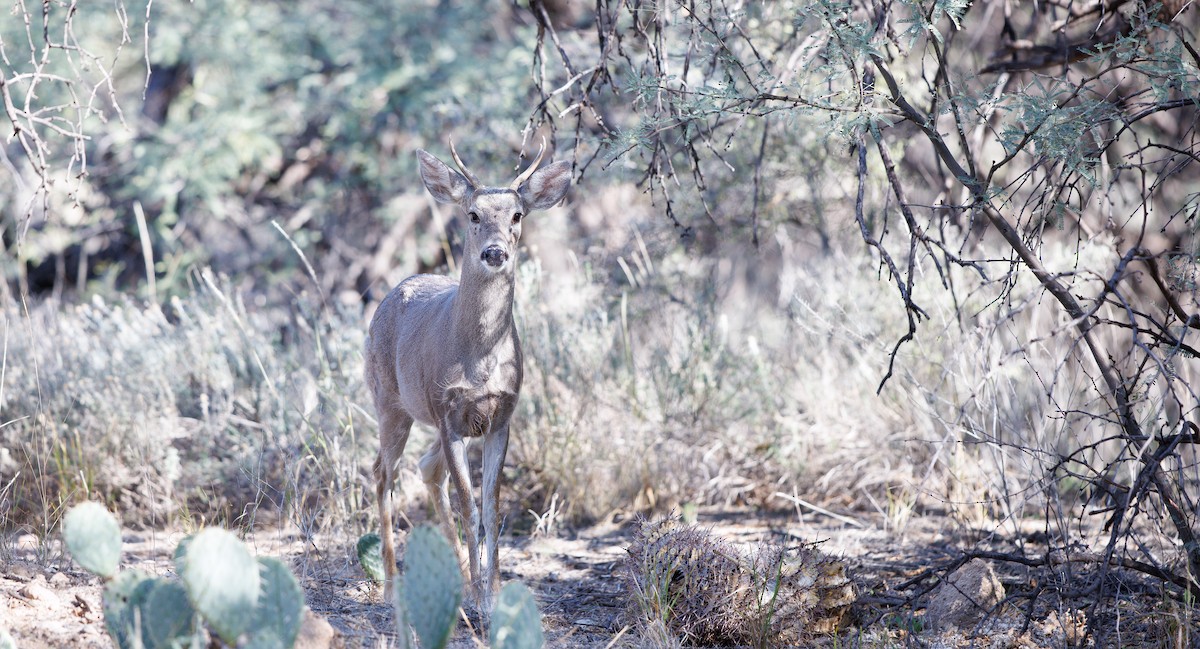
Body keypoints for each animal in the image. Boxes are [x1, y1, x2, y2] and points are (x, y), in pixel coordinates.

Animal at [364, 139, 572, 613]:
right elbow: (469, 506)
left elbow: (492, 509)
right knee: (383, 471)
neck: (480, 361)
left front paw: (493, 593)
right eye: (473, 214)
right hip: (390, 401)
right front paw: (480, 599)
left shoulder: (501, 417)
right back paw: (391, 586)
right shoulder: (447, 414)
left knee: (425, 468)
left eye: (517, 215)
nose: (495, 252)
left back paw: (458, 578)